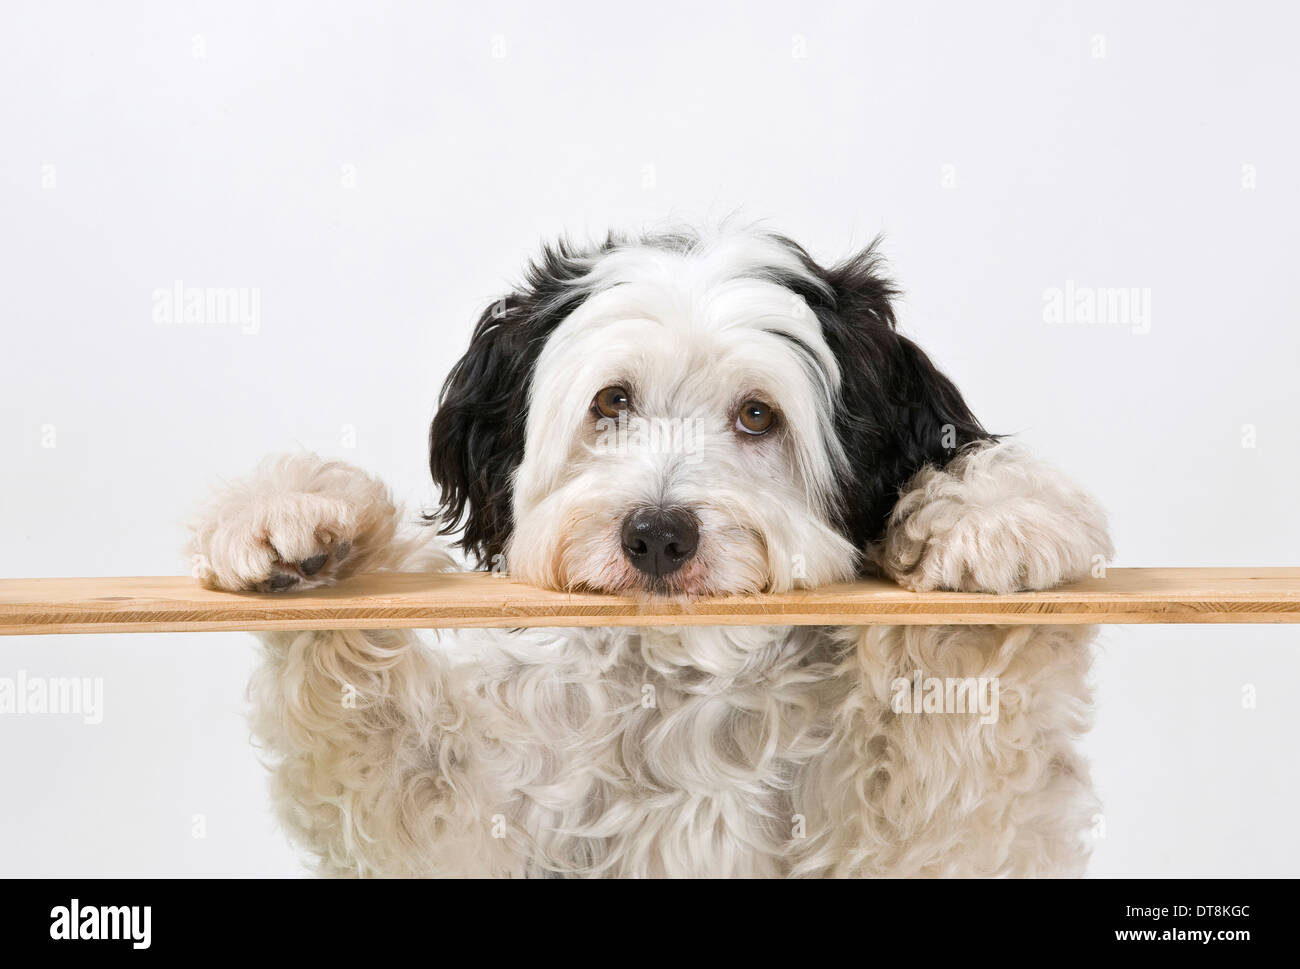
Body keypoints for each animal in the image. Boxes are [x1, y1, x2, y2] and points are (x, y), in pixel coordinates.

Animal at [188, 226, 1112, 879]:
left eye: (757, 414)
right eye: (613, 401)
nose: (658, 534)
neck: (680, 685)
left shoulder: (933, 838)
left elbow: (964, 709)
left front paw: (994, 519)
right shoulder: (465, 825)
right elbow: (381, 750)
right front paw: (300, 522)